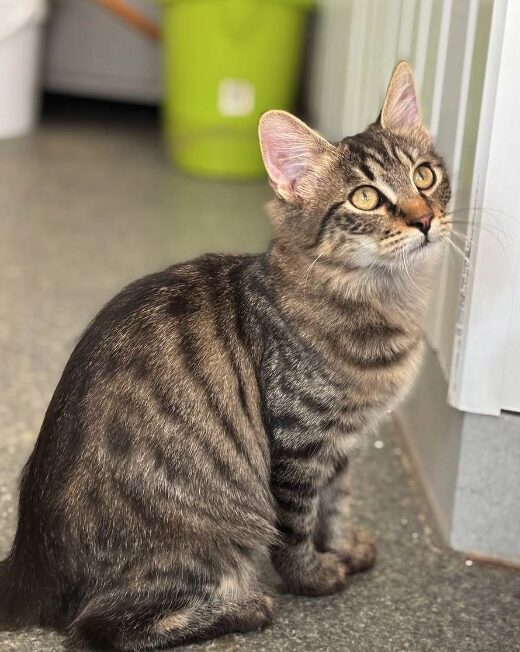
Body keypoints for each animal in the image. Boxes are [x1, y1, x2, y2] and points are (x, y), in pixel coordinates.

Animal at [0, 59, 446, 648]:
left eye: (424, 177)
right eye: (366, 198)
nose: (424, 219)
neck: (383, 299)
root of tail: (26, 567)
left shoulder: (342, 444)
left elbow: (335, 504)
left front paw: (345, 547)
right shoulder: (299, 443)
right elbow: (299, 527)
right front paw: (315, 577)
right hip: (211, 536)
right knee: (101, 629)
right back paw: (246, 608)